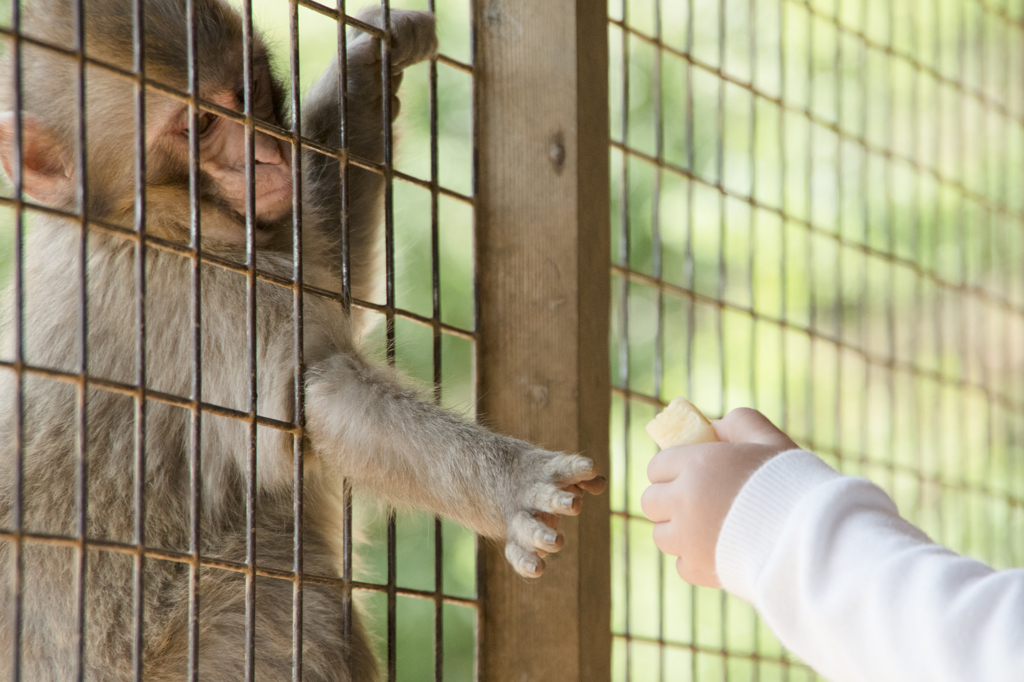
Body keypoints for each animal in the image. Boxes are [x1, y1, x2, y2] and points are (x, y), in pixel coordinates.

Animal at [0, 0, 602, 675]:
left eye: (248, 91)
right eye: (200, 123)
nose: (266, 158)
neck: (130, 221)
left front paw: (365, 72)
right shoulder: (196, 292)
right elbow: (311, 396)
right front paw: (511, 484)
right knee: (284, 590)